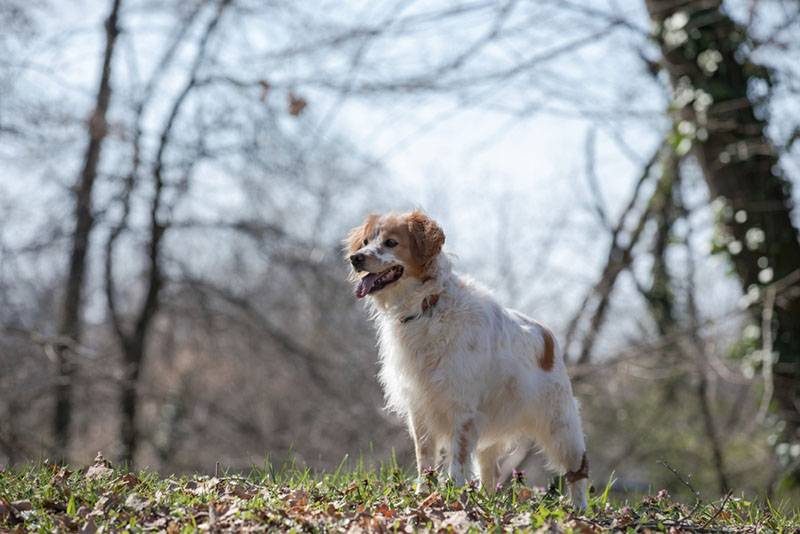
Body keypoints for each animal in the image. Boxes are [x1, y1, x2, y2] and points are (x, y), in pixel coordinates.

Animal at [344, 209, 588, 510]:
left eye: (391, 242)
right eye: (366, 241)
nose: (355, 258)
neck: (428, 306)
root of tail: (548, 335)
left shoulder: (462, 408)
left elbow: (458, 461)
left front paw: (453, 494)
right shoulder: (420, 408)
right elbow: (425, 458)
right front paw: (424, 494)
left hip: (560, 425)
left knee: (578, 470)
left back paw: (580, 509)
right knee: (490, 472)